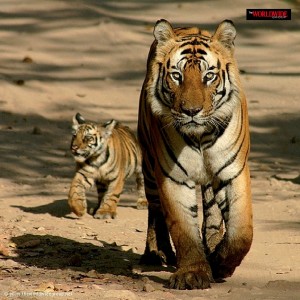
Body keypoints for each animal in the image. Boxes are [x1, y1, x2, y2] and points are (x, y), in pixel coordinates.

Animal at [138, 19, 253, 290]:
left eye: (208, 76)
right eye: (177, 76)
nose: (191, 111)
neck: (201, 137)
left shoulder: (234, 172)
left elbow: (241, 232)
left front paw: (221, 263)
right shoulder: (173, 177)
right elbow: (183, 229)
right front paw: (192, 274)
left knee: (212, 211)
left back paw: (212, 243)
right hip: (149, 166)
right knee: (155, 210)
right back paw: (156, 253)